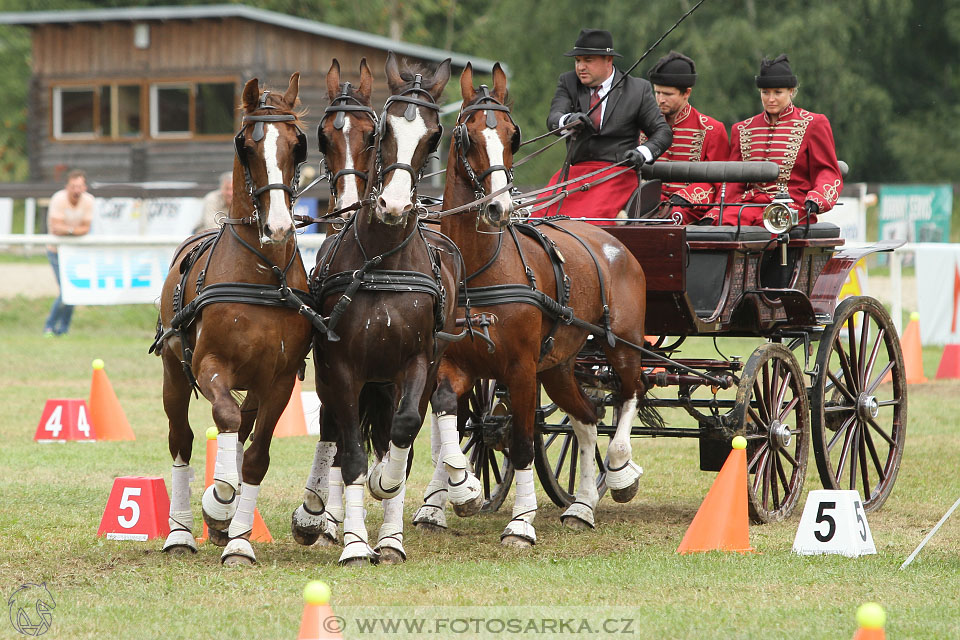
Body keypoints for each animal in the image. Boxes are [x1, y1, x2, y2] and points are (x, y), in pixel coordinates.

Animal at [152, 76, 314, 564]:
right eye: (247, 145)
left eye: (298, 144)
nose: (279, 226)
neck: (262, 275)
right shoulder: (209, 365)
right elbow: (222, 417)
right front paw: (219, 497)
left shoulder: (279, 379)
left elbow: (257, 452)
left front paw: (239, 538)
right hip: (174, 373)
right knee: (183, 438)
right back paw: (181, 531)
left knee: (242, 427)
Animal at [308, 53, 458, 564]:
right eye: (385, 130)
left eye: (435, 134)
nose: (392, 204)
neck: (382, 262)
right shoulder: (340, 366)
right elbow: (351, 452)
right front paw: (354, 541)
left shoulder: (416, 362)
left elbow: (405, 434)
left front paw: (385, 489)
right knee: (336, 433)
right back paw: (325, 519)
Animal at [414, 63, 660, 544]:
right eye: (465, 135)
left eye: (513, 135)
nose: (497, 208)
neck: (479, 268)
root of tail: (610, 238)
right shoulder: (454, 364)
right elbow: (449, 418)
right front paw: (462, 488)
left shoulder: (521, 369)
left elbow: (525, 442)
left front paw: (521, 522)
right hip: (560, 365)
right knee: (586, 418)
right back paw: (582, 506)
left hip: (621, 344)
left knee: (628, 394)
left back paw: (621, 471)